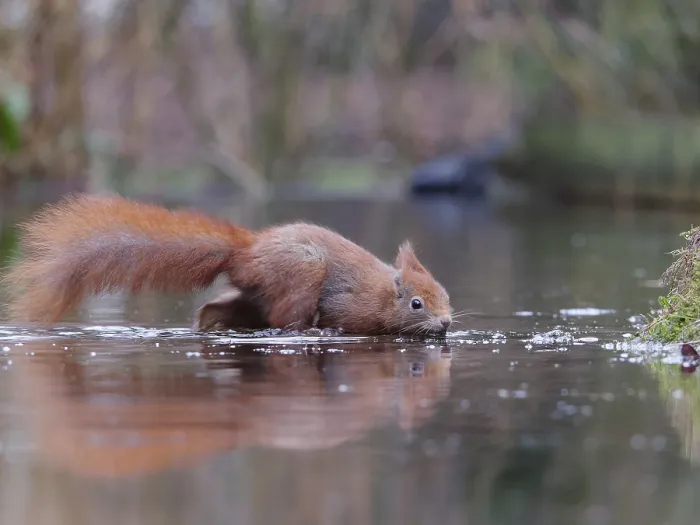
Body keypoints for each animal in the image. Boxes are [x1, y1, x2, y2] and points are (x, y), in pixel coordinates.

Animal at [2, 193, 453, 336]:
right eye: (417, 303)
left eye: (446, 295)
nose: (447, 322)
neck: (382, 293)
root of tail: (246, 251)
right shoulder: (349, 302)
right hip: (299, 276)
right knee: (284, 318)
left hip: (256, 290)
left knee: (221, 306)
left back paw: (207, 324)